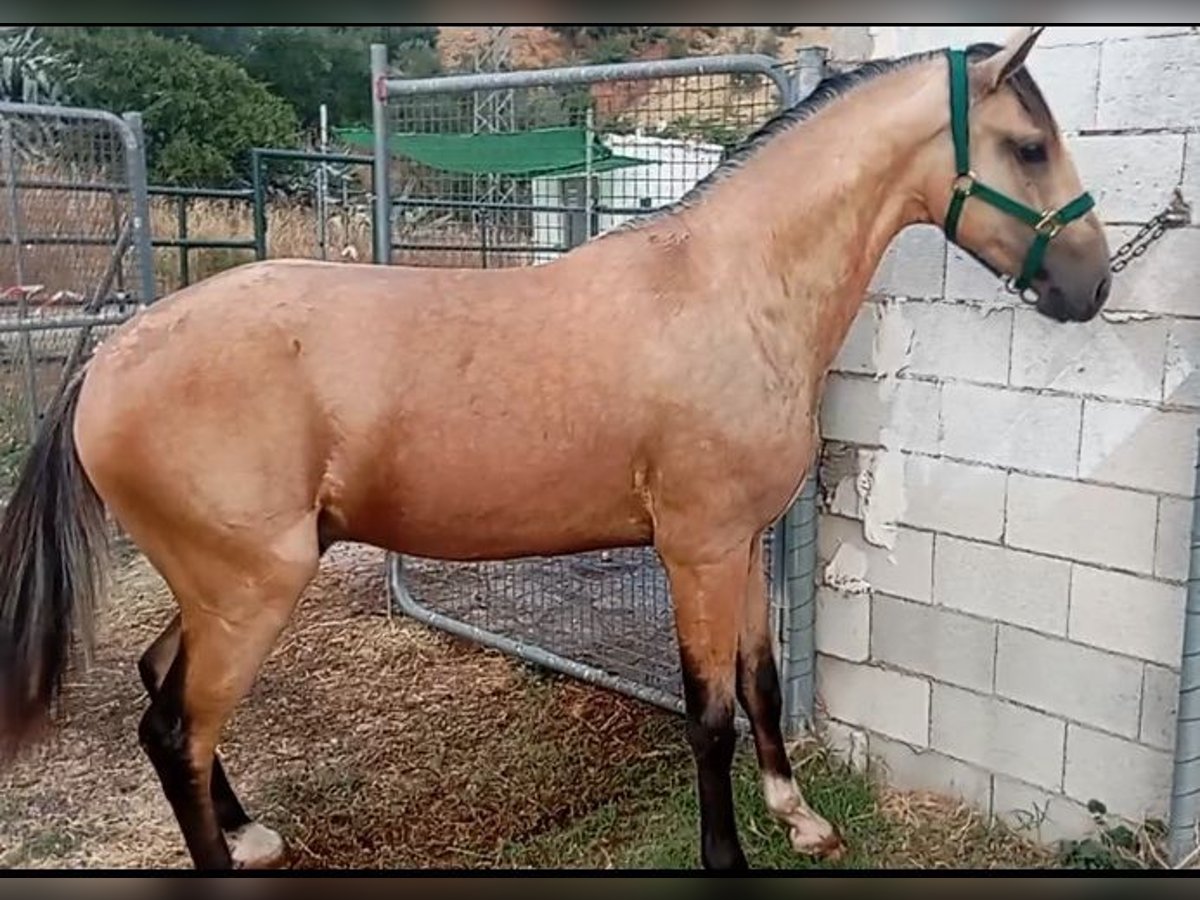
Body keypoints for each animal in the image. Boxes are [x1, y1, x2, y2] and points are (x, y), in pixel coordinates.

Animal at [0, 28, 1108, 873]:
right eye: (1028, 147)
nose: (1092, 287)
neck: (728, 289)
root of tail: (113, 356)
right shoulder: (696, 551)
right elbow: (707, 711)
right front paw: (727, 856)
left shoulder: (742, 543)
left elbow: (760, 683)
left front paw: (800, 820)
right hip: (249, 588)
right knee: (177, 731)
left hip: (217, 585)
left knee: (161, 688)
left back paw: (251, 833)